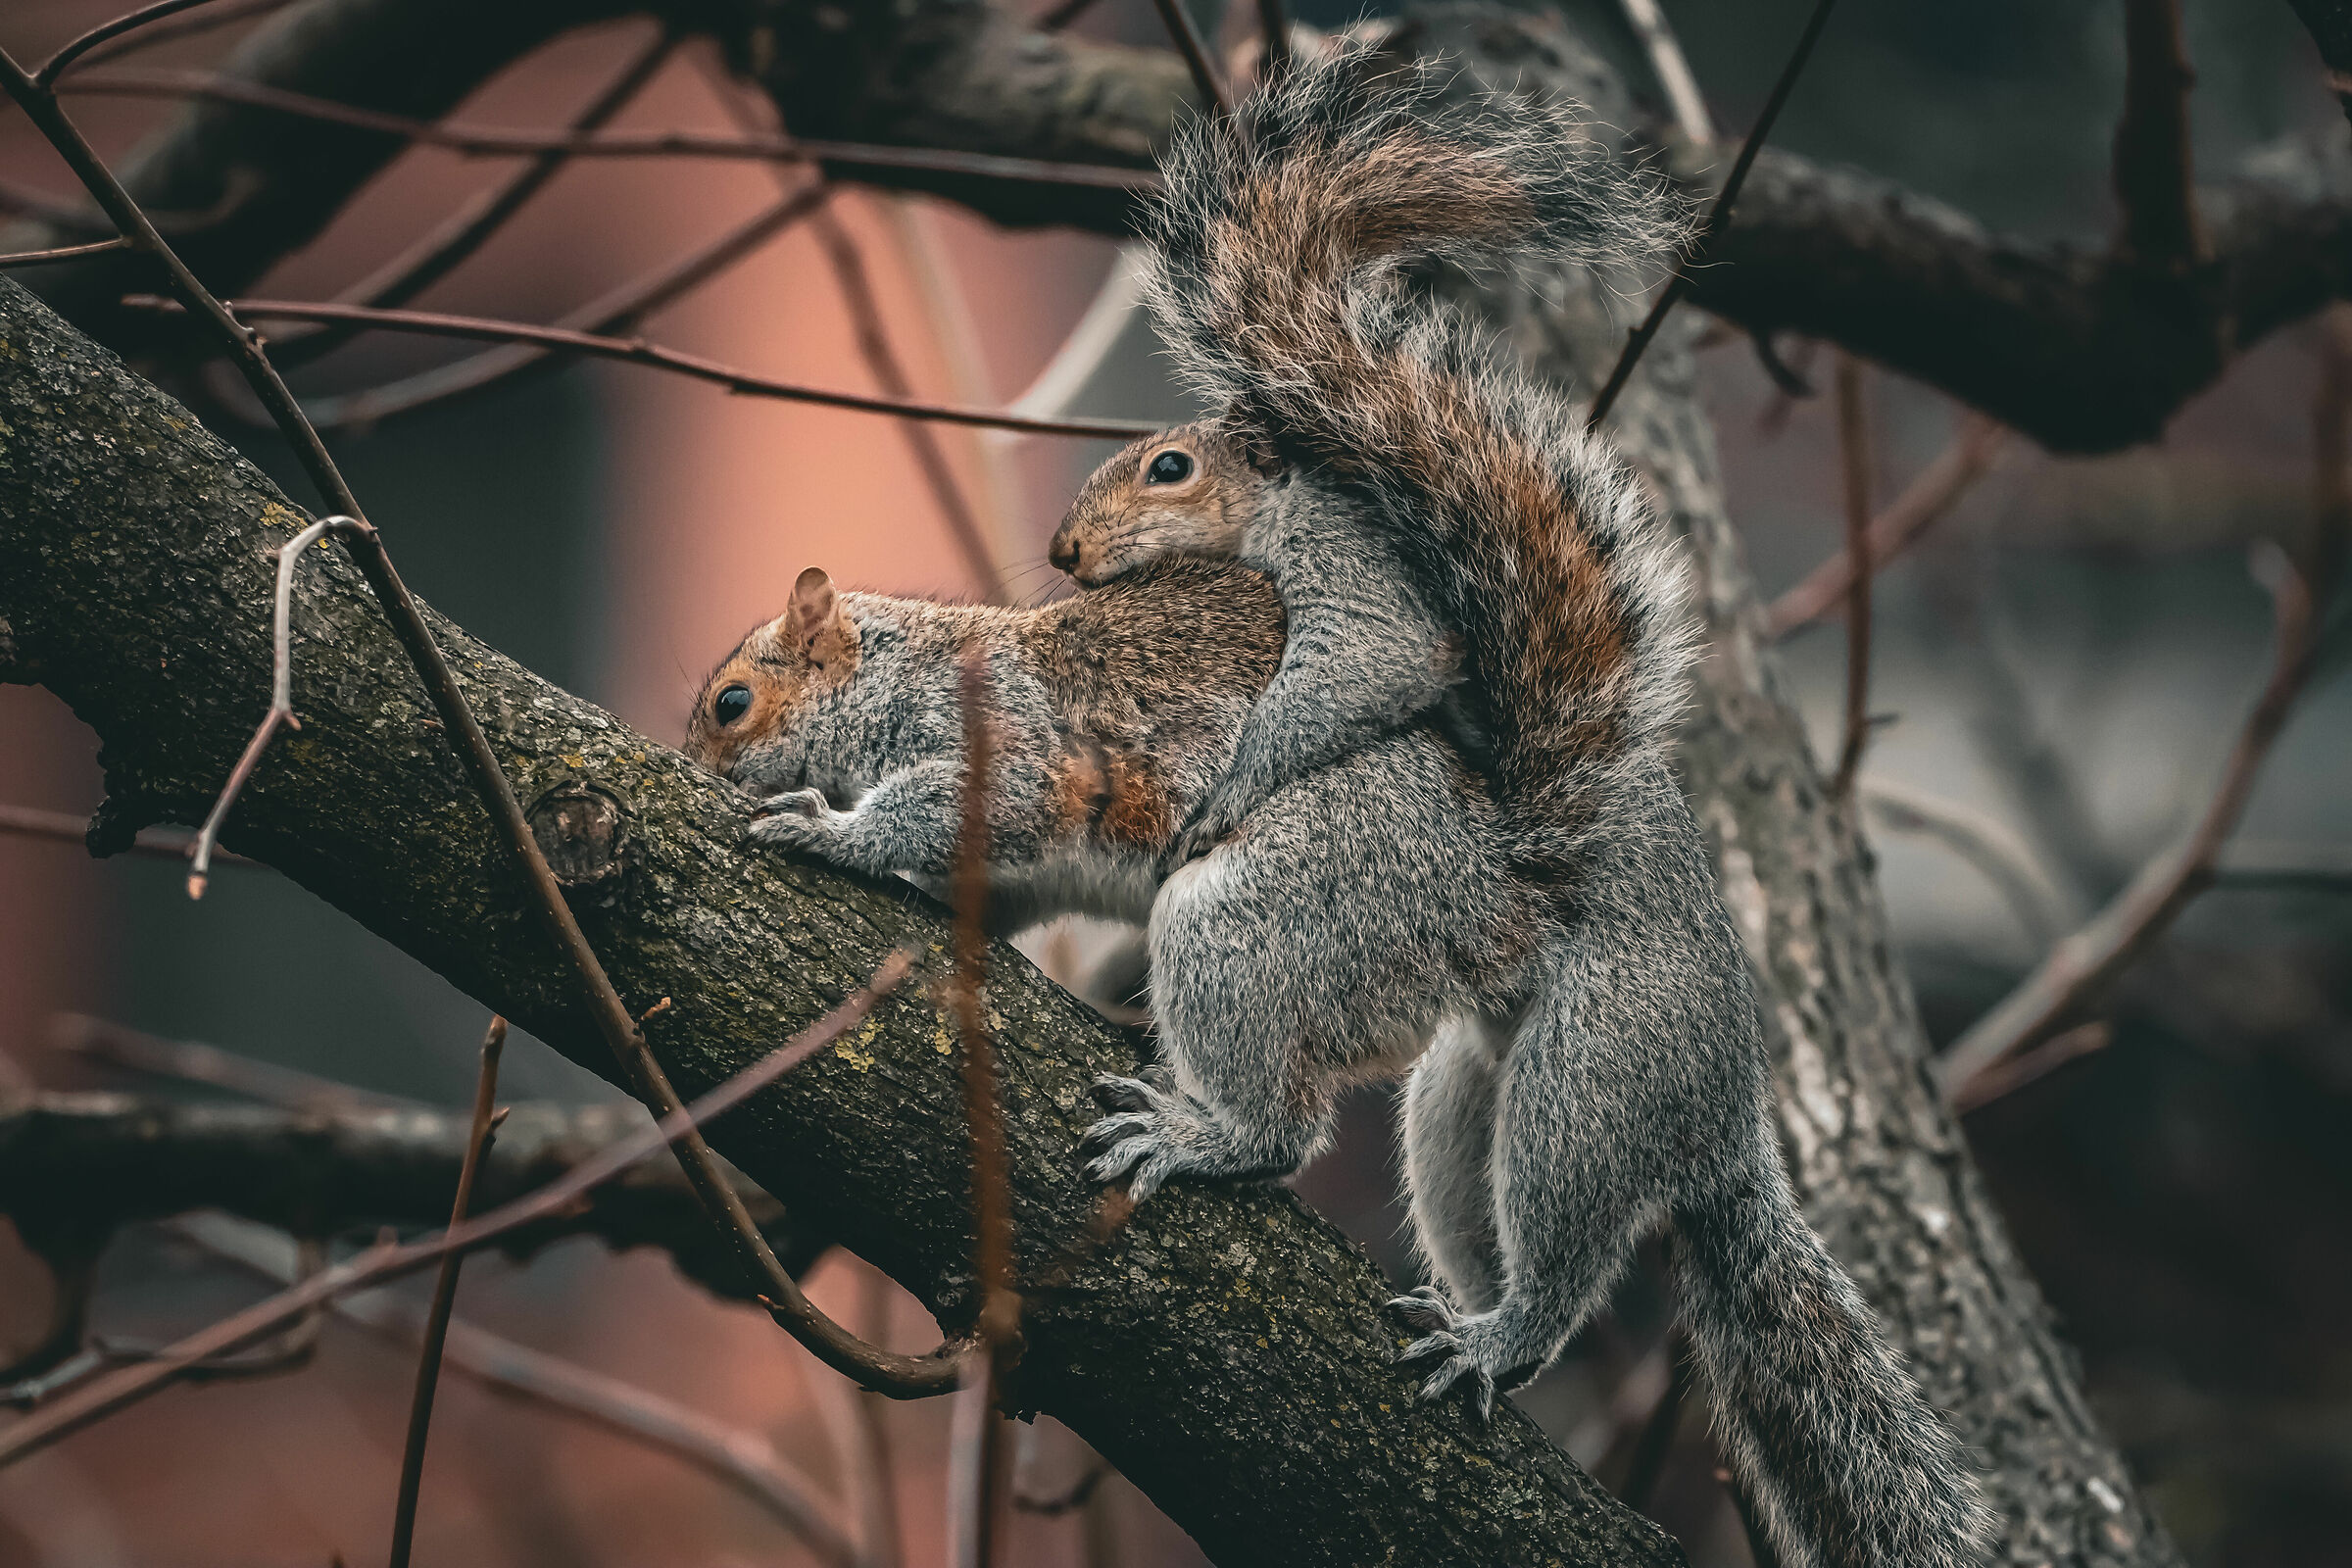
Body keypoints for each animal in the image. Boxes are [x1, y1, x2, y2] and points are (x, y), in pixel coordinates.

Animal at [1043, 46, 1995, 1568]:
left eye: (1170, 467)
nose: (1066, 552)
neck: (1292, 498)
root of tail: (1723, 1120)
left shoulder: (1362, 590)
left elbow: (1369, 672)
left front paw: (1237, 784)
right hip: (1463, 1093)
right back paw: (1474, 1322)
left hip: (1586, 1082)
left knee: (1541, 1237)